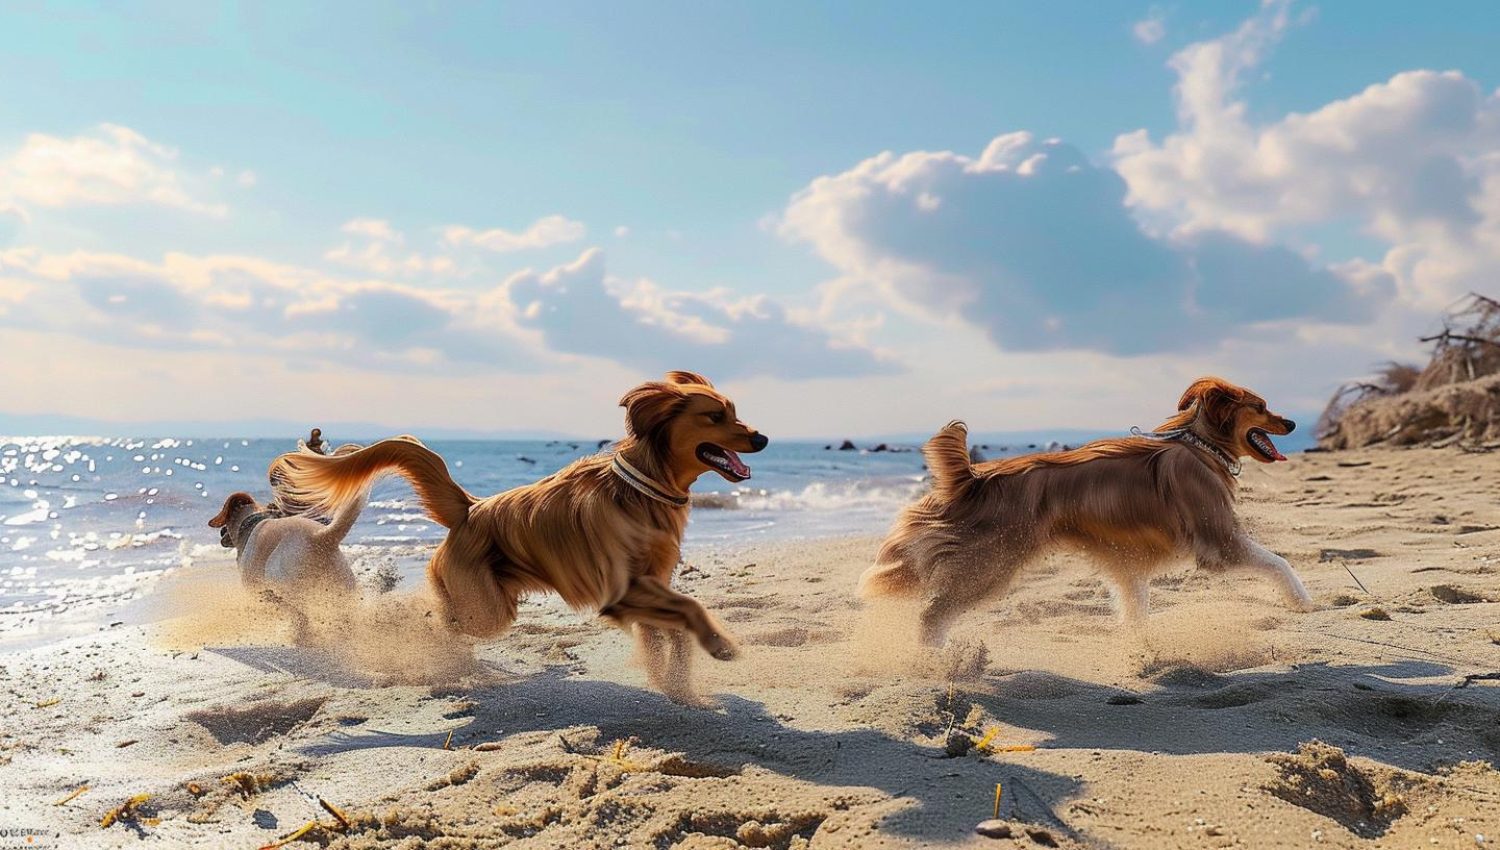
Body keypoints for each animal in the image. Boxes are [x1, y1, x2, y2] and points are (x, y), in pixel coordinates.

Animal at [265, 374, 768, 704]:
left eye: (735, 412)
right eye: (714, 416)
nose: (763, 438)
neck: (641, 489)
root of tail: (471, 508)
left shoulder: (649, 584)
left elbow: (673, 631)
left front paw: (677, 685)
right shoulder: (622, 590)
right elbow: (690, 607)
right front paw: (717, 646)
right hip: (487, 610)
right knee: (439, 621)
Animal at [864, 377, 1308, 644]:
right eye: (1261, 406)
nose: (1292, 423)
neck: (1199, 445)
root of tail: (973, 477)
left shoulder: (1127, 562)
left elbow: (1135, 606)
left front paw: (1140, 649)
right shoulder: (1219, 539)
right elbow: (1280, 562)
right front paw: (1302, 601)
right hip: (989, 563)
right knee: (932, 615)